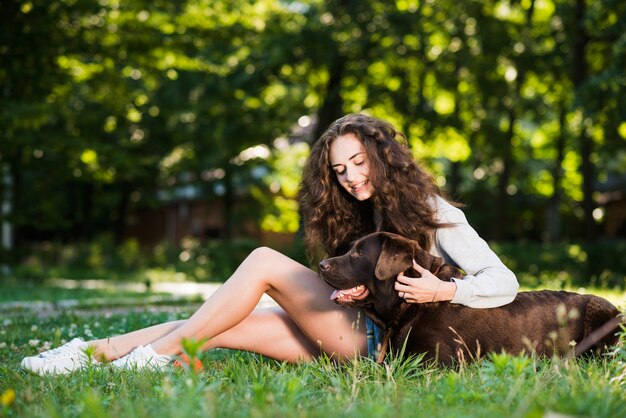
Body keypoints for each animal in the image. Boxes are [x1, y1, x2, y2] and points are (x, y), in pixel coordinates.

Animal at [320, 232, 620, 366]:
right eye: (351, 249)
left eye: (359, 253)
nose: (322, 264)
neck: (409, 307)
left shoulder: (435, 363)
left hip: (600, 312)